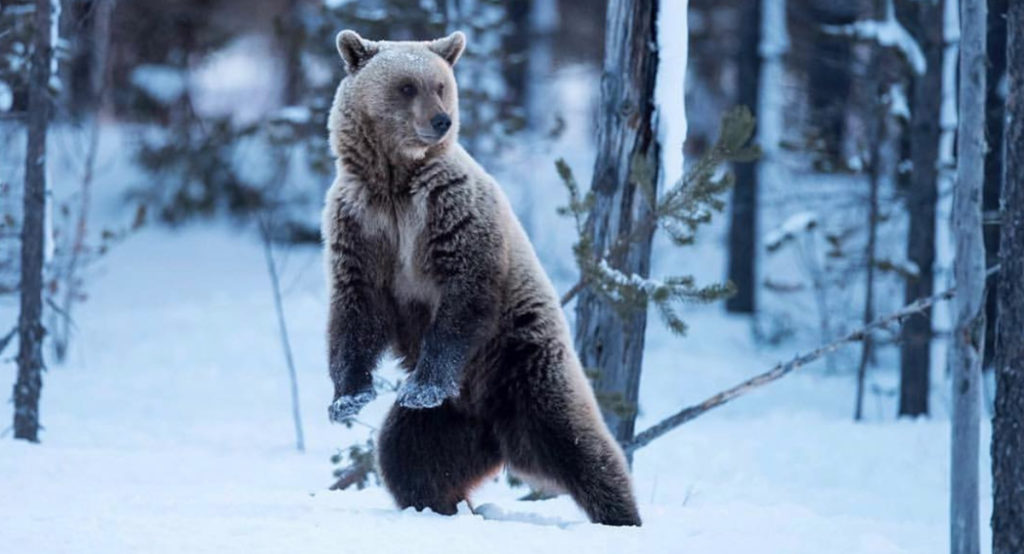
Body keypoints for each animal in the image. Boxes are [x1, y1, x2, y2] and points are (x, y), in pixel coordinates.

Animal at [321, 28, 638, 524]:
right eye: (407, 86)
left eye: (440, 84)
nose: (441, 120)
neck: (395, 185)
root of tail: (496, 429)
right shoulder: (361, 225)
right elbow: (356, 307)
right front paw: (347, 398)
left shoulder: (454, 214)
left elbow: (464, 297)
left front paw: (423, 387)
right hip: (448, 424)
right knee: (407, 457)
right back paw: (441, 505)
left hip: (526, 365)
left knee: (582, 445)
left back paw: (621, 514)